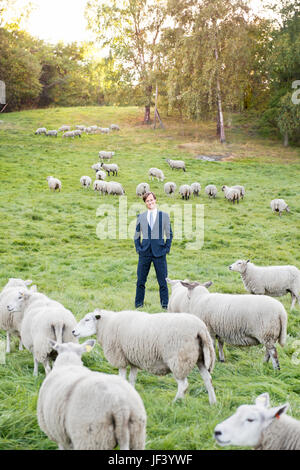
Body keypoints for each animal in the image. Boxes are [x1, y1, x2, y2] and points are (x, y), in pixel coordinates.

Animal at [73, 308, 218, 404]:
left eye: (87, 319)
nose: (73, 331)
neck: (107, 324)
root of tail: (200, 329)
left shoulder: (120, 357)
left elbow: (122, 378)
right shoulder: (132, 358)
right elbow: (131, 379)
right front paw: (131, 393)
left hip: (179, 359)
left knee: (184, 385)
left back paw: (175, 403)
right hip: (201, 358)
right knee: (208, 379)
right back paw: (213, 402)